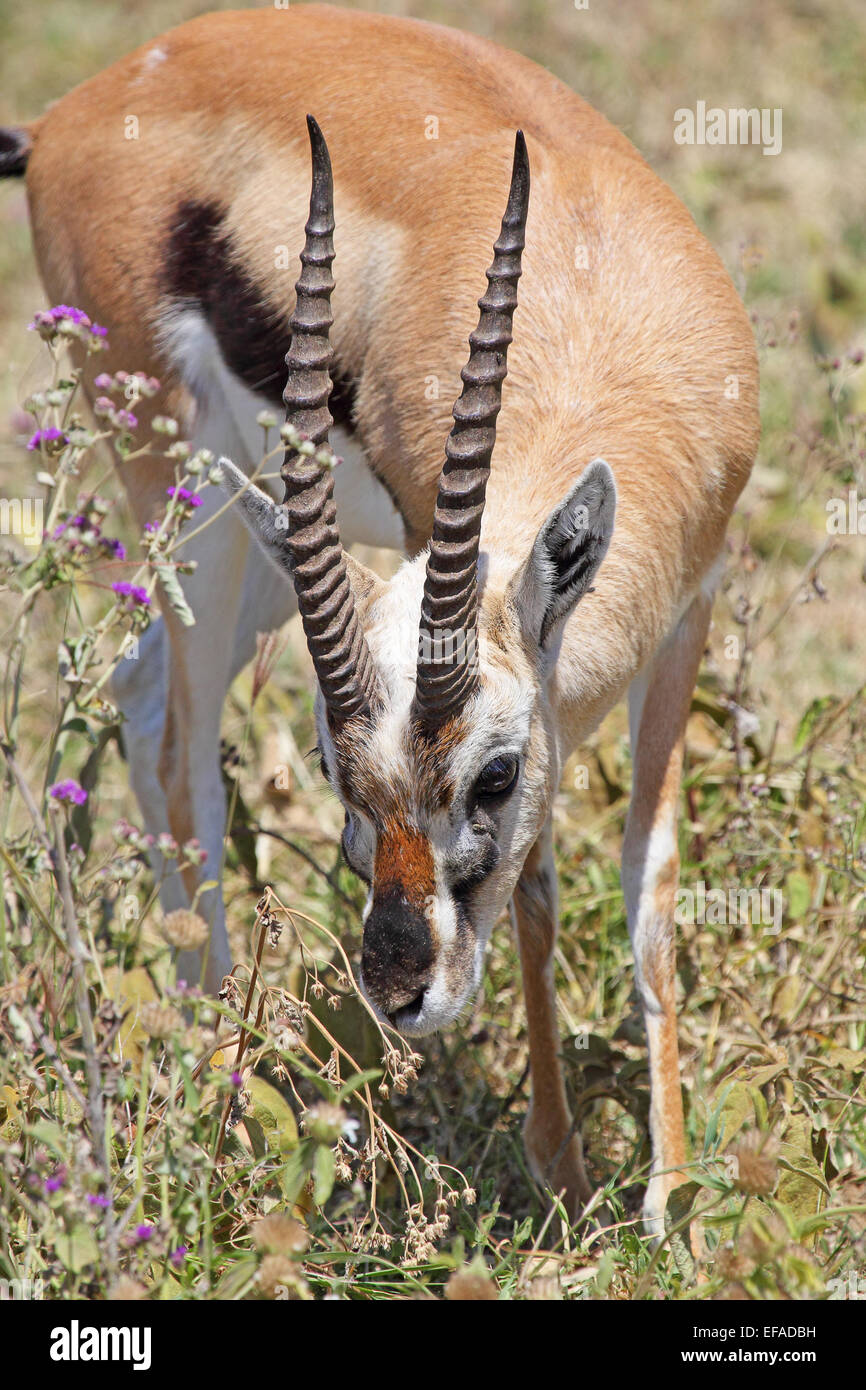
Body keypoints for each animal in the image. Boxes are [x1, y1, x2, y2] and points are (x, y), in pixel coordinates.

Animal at [1, 6, 759, 1233]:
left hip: (260, 541)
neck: (594, 295)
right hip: (188, 501)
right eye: (338, 775)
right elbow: (538, 892)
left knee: (137, 691)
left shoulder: (687, 607)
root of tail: (74, 112)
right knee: (173, 747)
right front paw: (561, 1177)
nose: (401, 990)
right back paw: (225, 1081)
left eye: (494, 775)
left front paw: (672, 1203)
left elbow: (647, 889)